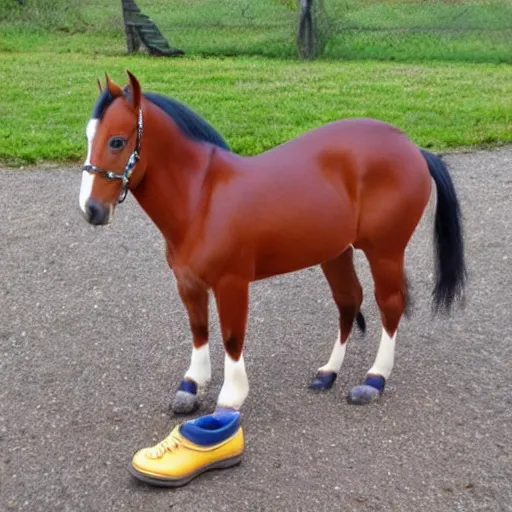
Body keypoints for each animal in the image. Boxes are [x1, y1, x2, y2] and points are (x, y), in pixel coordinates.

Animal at [78, 72, 466, 414]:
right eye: (88, 137)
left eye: (117, 141)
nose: (91, 209)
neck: (202, 198)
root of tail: (413, 148)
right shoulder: (188, 284)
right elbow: (199, 330)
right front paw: (191, 387)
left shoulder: (232, 284)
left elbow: (232, 337)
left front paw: (231, 396)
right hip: (335, 253)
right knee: (348, 301)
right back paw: (328, 373)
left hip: (384, 251)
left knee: (389, 305)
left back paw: (373, 380)